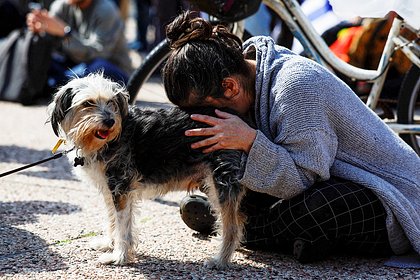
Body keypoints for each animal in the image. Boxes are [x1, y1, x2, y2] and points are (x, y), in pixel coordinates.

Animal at [48, 74, 248, 270]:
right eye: (87, 103)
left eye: (111, 102)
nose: (110, 121)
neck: (104, 142)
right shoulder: (109, 189)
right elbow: (113, 218)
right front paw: (108, 243)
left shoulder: (121, 187)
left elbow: (122, 225)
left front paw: (119, 256)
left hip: (221, 182)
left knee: (233, 227)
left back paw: (220, 260)